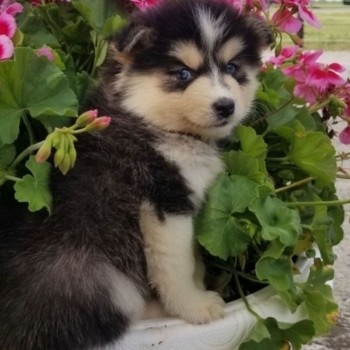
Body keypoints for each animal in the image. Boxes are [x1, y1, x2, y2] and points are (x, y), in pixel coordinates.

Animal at [0, 0, 274, 350]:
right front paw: (193, 305)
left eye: (232, 67)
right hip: (106, 282)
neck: (152, 122)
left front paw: (199, 281)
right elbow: (176, 264)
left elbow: (191, 256)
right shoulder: (163, 203)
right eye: (182, 73)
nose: (225, 106)